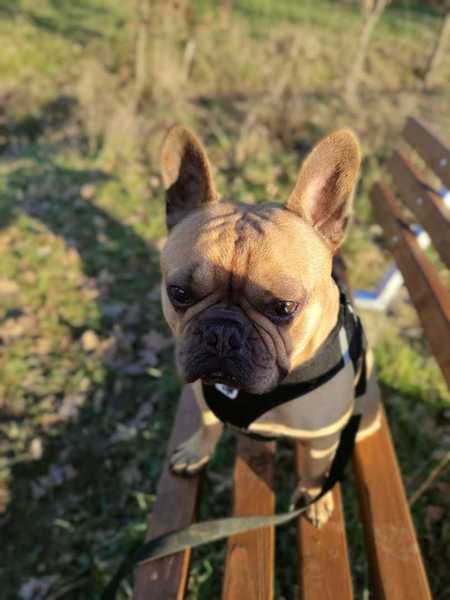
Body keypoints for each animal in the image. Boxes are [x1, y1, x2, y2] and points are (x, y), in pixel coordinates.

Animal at [159, 125, 381, 527]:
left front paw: (314, 498)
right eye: (179, 293)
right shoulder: (202, 397)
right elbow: (208, 424)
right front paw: (197, 451)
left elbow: (315, 468)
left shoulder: (322, 436)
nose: (221, 333)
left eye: (284, 307)